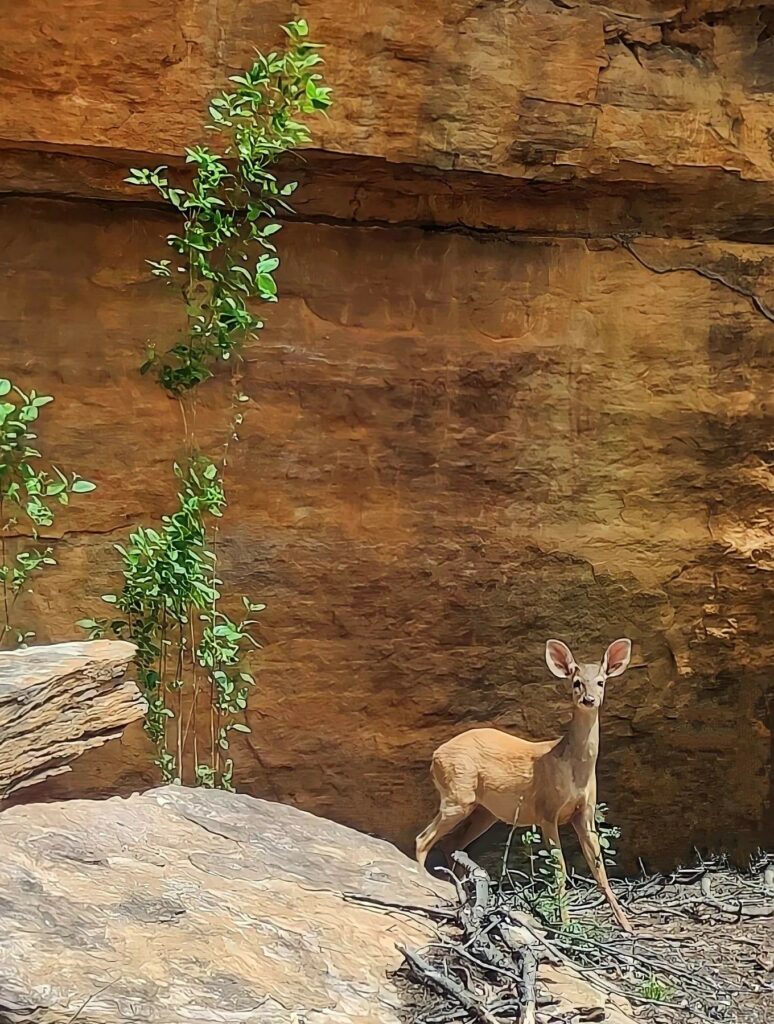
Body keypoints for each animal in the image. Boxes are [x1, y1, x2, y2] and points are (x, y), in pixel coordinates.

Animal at [413, 638, 630, 937]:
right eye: (576, 682)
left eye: (600, 681)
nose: (589, 700)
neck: (571, 768)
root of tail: (435, 756)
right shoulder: (547, 811)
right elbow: (559, 869)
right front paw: (565, 924)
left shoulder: (585, 812)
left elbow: (600, 869)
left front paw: (627, 925)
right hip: (458, 795)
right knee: (423, 839)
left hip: (485, 812)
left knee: (452, 845)